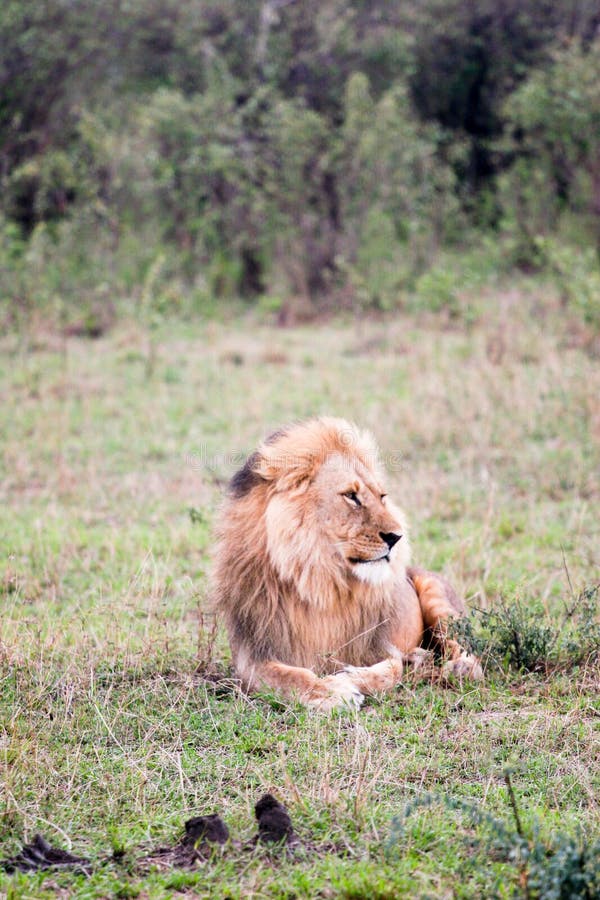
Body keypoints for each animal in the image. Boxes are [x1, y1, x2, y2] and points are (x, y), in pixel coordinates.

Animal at [211, 416, 482, 712]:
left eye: (382, 497)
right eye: (351, 495)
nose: (397, 537)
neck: (320, 580)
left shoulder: (379, 645)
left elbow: (391, 669)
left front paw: (350, 677)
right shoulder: (252, 658)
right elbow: (292, 677)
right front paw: (332, 692)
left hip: (438, 599)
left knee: (465, 650)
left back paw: (459, 667)